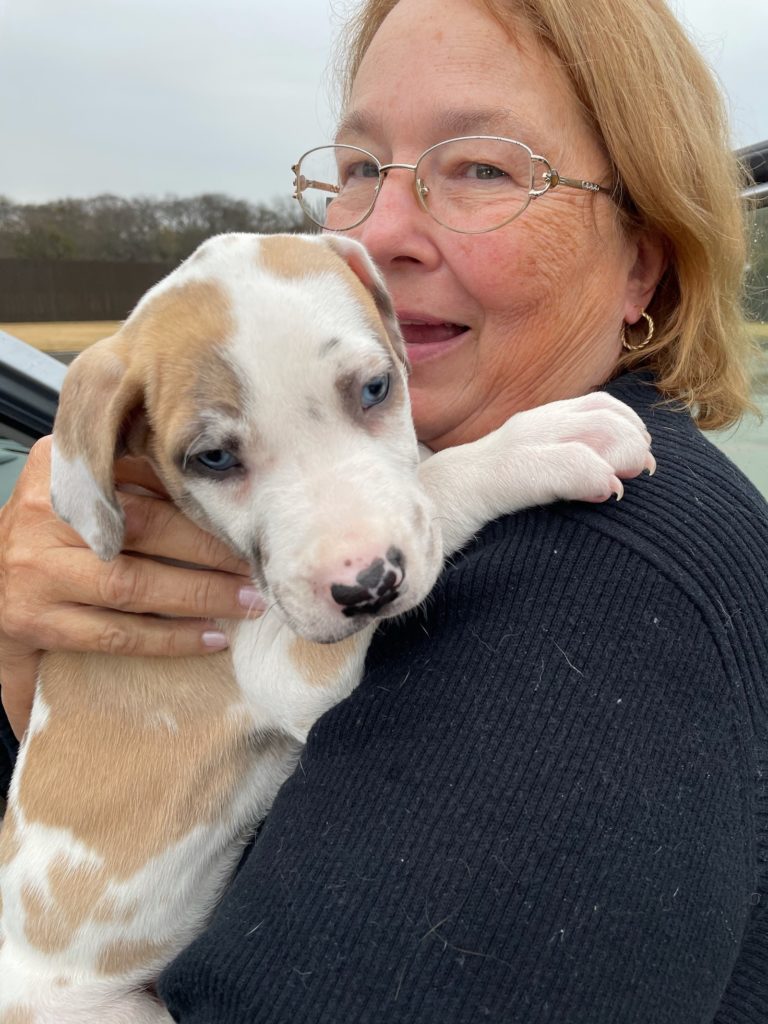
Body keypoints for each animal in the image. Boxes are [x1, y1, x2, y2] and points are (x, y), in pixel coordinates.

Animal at [0, 234, 655, 1024]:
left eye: (375, 389)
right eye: (213, 459)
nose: (370, 586)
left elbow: (419, 474)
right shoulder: (283, 658)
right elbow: (438, 485)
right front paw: (542, 439)